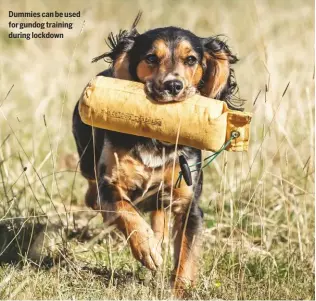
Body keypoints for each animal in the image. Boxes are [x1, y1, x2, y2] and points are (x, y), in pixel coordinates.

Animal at [72, 12, 239, 294]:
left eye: (191, 59)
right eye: (151, 57)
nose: (173, 85)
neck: (157, 140)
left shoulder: (189, 204)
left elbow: (185, 255)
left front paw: (179, 290)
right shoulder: (111, 184)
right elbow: (125, 211)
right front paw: (146, 248)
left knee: (158, 212)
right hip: (86, 160)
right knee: (93, 193)